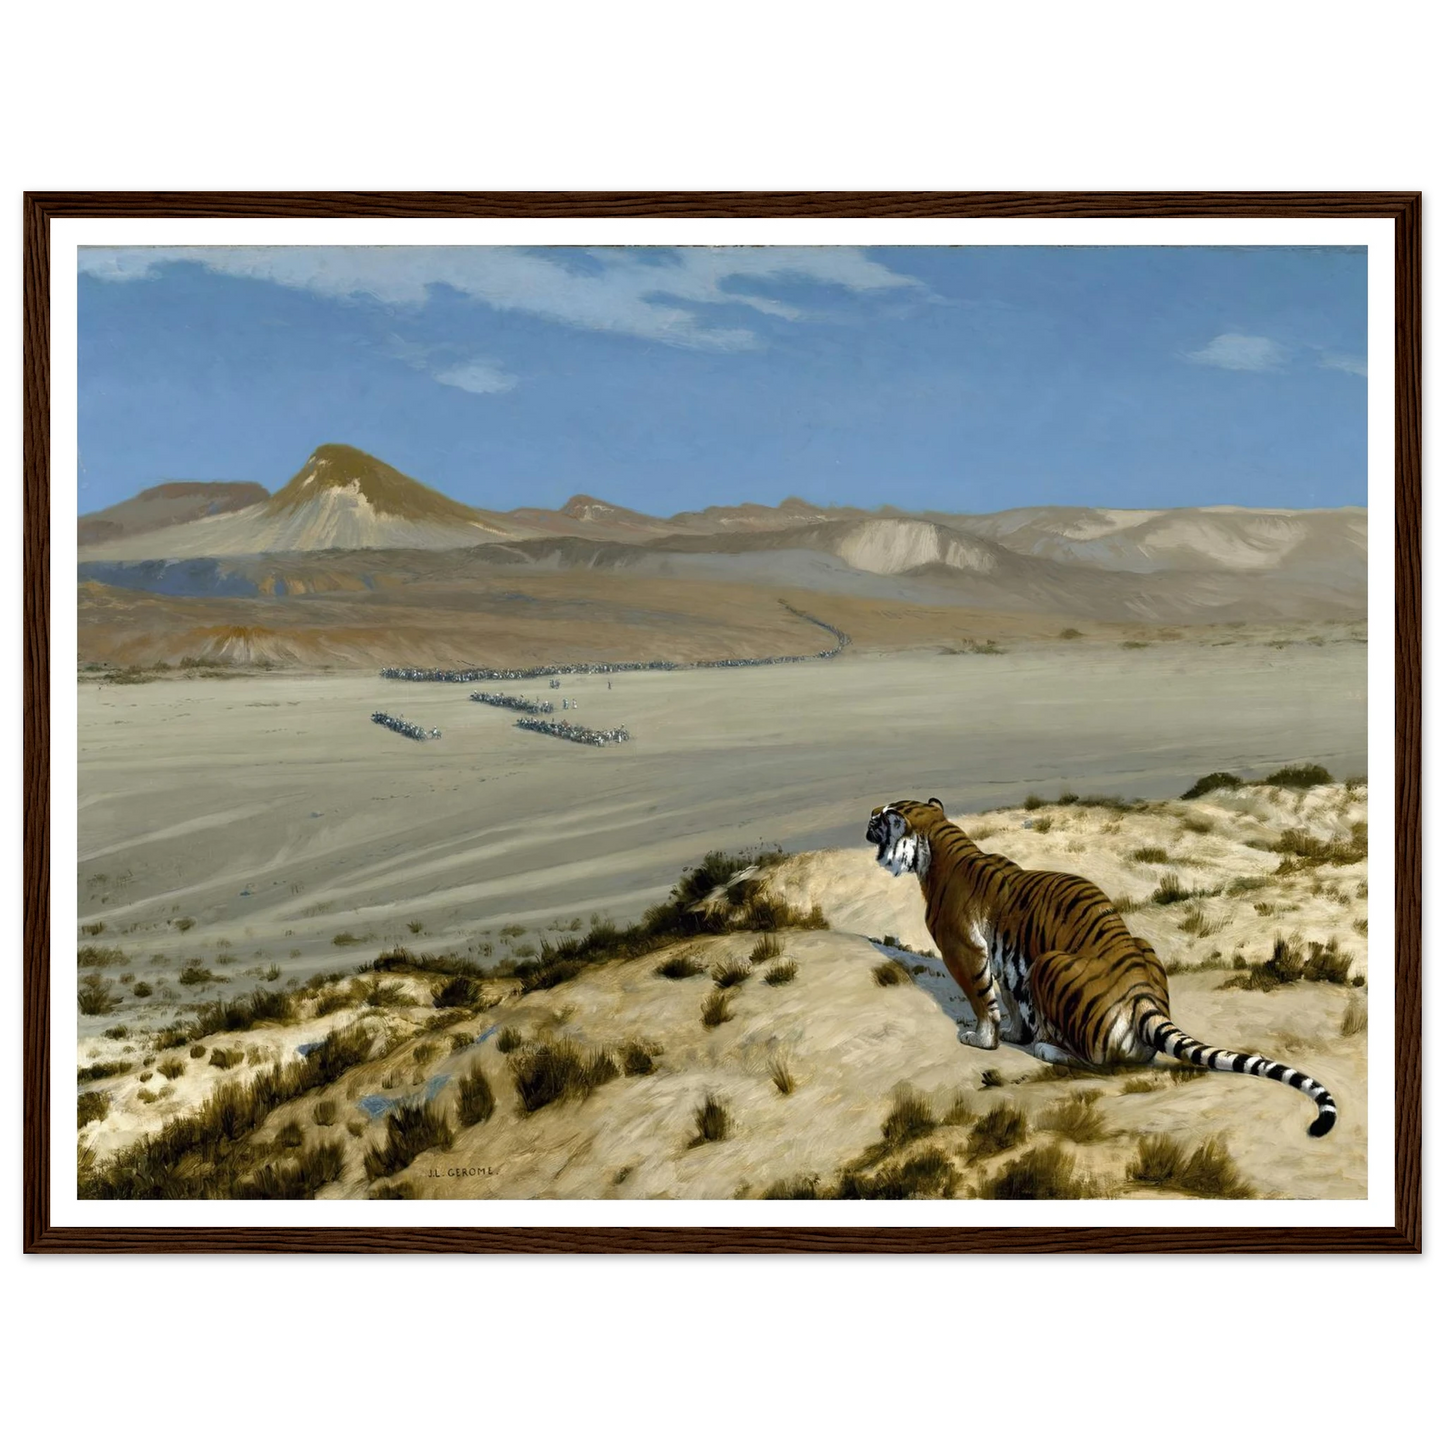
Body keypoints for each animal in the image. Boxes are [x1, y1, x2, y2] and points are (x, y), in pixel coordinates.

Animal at [865, 797, 1338, 1137]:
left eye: (881, 817)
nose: (866, 821)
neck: (938, 845)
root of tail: (1143, 996)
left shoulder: (963, 950)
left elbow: (984, 1000)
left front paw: (981, 1040)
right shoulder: (1005, 960)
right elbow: (1010, 999)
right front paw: (1015, 1033)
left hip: (1048, 964)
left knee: (1097, 1063)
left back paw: (1046, 1048)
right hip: (1128, 950)